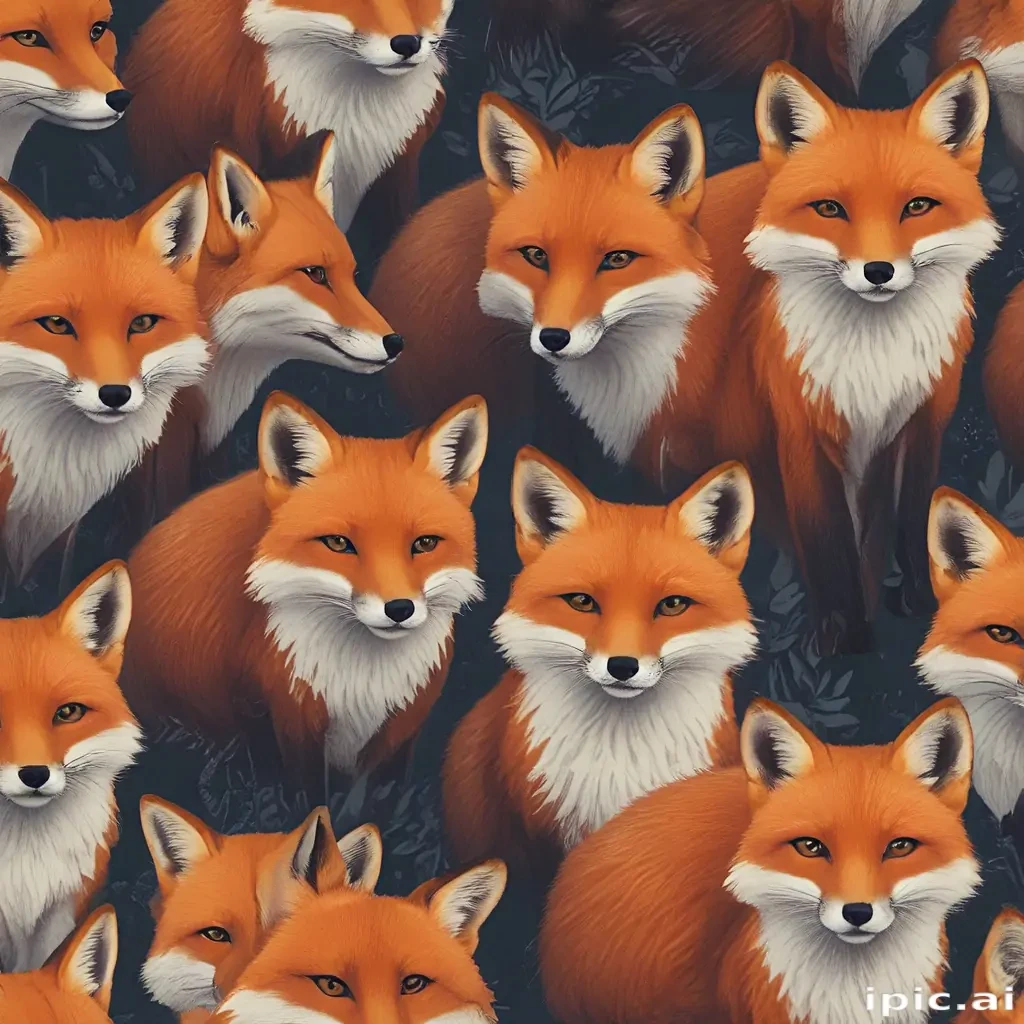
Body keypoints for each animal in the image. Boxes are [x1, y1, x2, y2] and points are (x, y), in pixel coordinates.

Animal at [121, 390, 487, 796]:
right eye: (338, 543)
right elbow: (307, 799)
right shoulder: (286, 724)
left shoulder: (402, 733)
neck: (362, 680)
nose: (399, 609)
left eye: (424, 544)